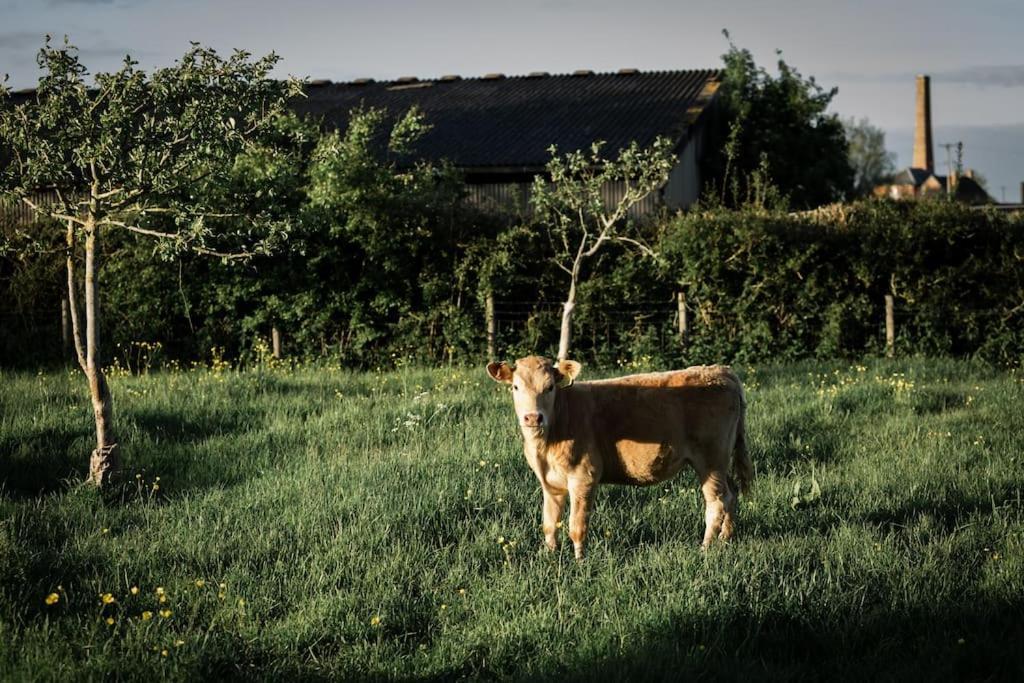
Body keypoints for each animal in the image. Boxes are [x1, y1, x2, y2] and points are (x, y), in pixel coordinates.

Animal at [483, 356, 749, 557]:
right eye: (516, 387)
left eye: (550, 387)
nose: (532, 417)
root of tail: (721, 370)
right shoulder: (550, 483)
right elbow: (549, 524)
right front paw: (550, 557)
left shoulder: (584, 476)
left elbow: (576, 526)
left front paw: (580, 561)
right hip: (721, 462)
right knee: (731, 493)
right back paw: (726, 538)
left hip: (710, 460)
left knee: (717, 502)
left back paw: (705, 547)